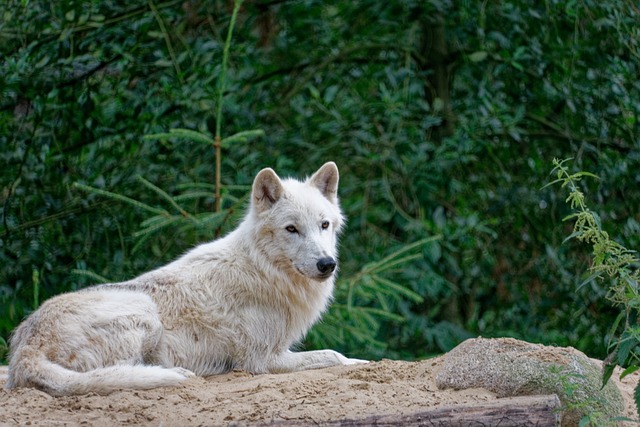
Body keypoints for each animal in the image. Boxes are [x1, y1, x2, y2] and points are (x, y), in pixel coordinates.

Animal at [6, 162, 364, 396]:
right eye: (292, 229)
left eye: (324, 225)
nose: (327, 264)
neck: (263, 270)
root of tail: (24, 349)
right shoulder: (262, 360)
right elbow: (335, 356)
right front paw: (357, 360)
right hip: (144, 311)